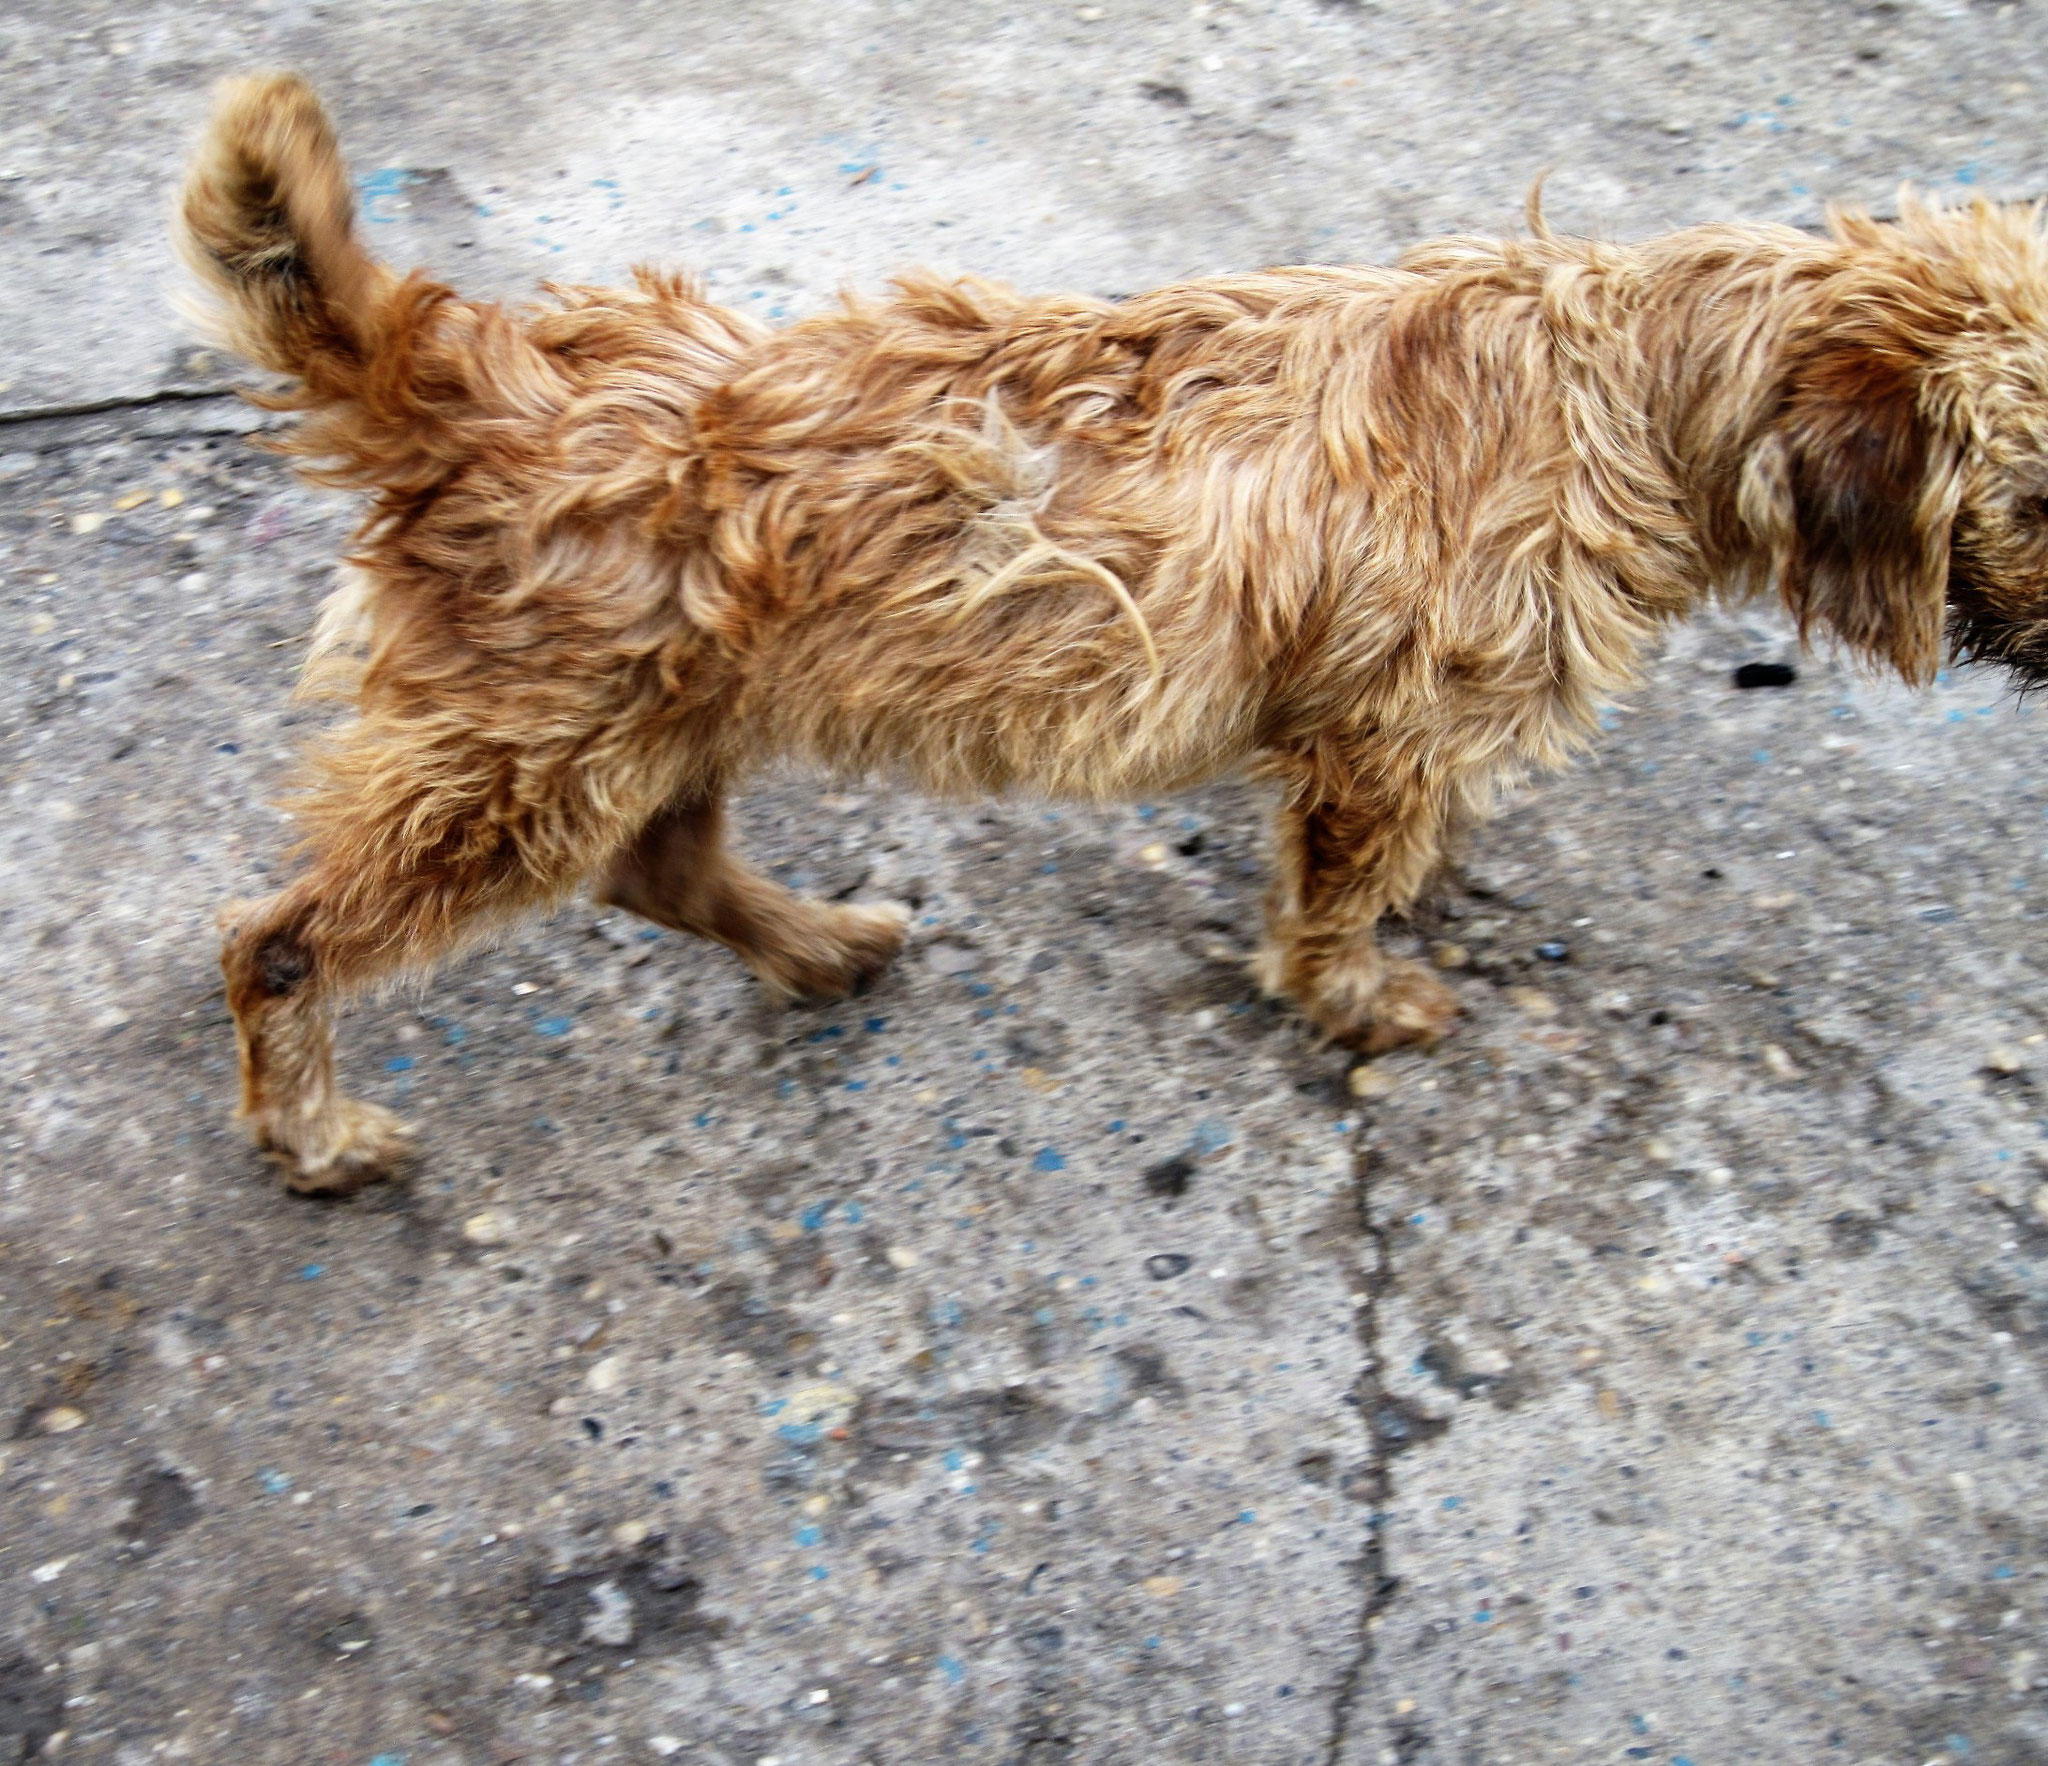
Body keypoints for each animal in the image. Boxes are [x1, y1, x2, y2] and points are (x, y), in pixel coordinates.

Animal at [180, 75, 2048, 1196]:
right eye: (2035, 495)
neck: (1630, 386)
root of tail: (463, 377)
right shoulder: (1378, 736)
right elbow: (1337, 888)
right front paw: (1357, 990)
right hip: (520, 755)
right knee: (281, 938)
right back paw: (314, 1125)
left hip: (651, 717)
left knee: (664, 865)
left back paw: (816, 944)